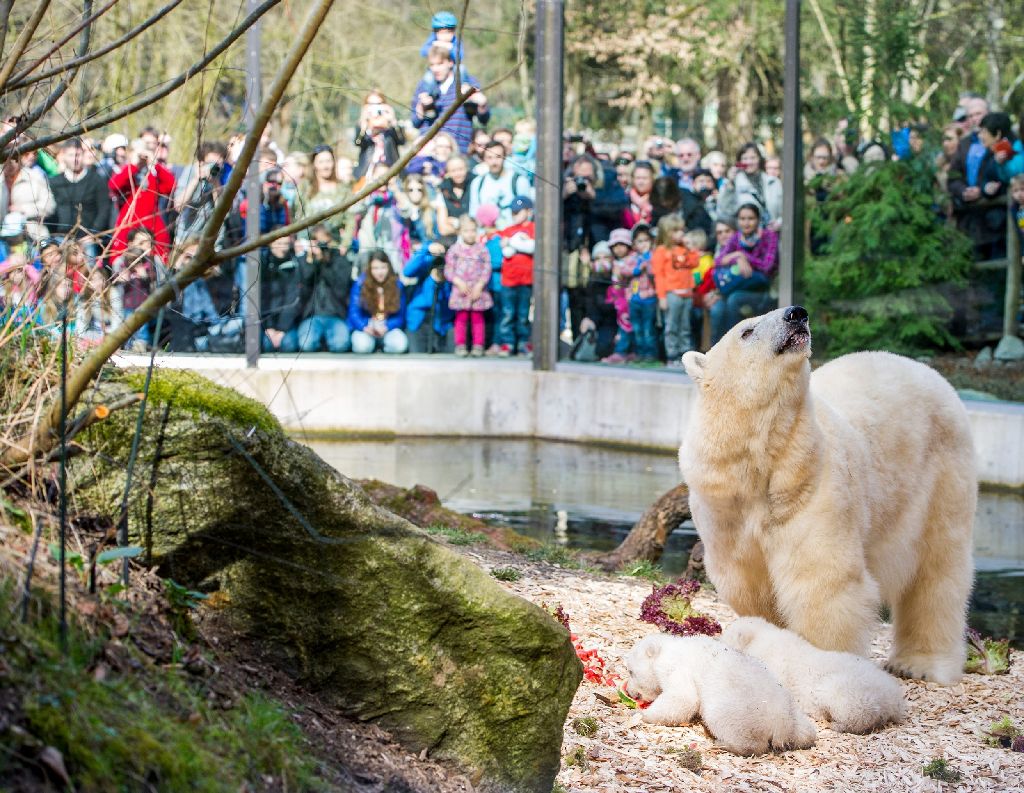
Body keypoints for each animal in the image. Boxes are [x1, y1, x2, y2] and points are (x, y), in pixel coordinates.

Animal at [679, 307, 974, 684]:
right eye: (747, 331)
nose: (796, 314)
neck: (762, 465)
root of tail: (926, 370)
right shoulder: (725, 511)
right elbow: (751, 585)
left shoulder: (812, 489)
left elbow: (822, 581)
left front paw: (821, 665)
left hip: (942, 472)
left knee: (938, 567)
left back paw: (920, 663)